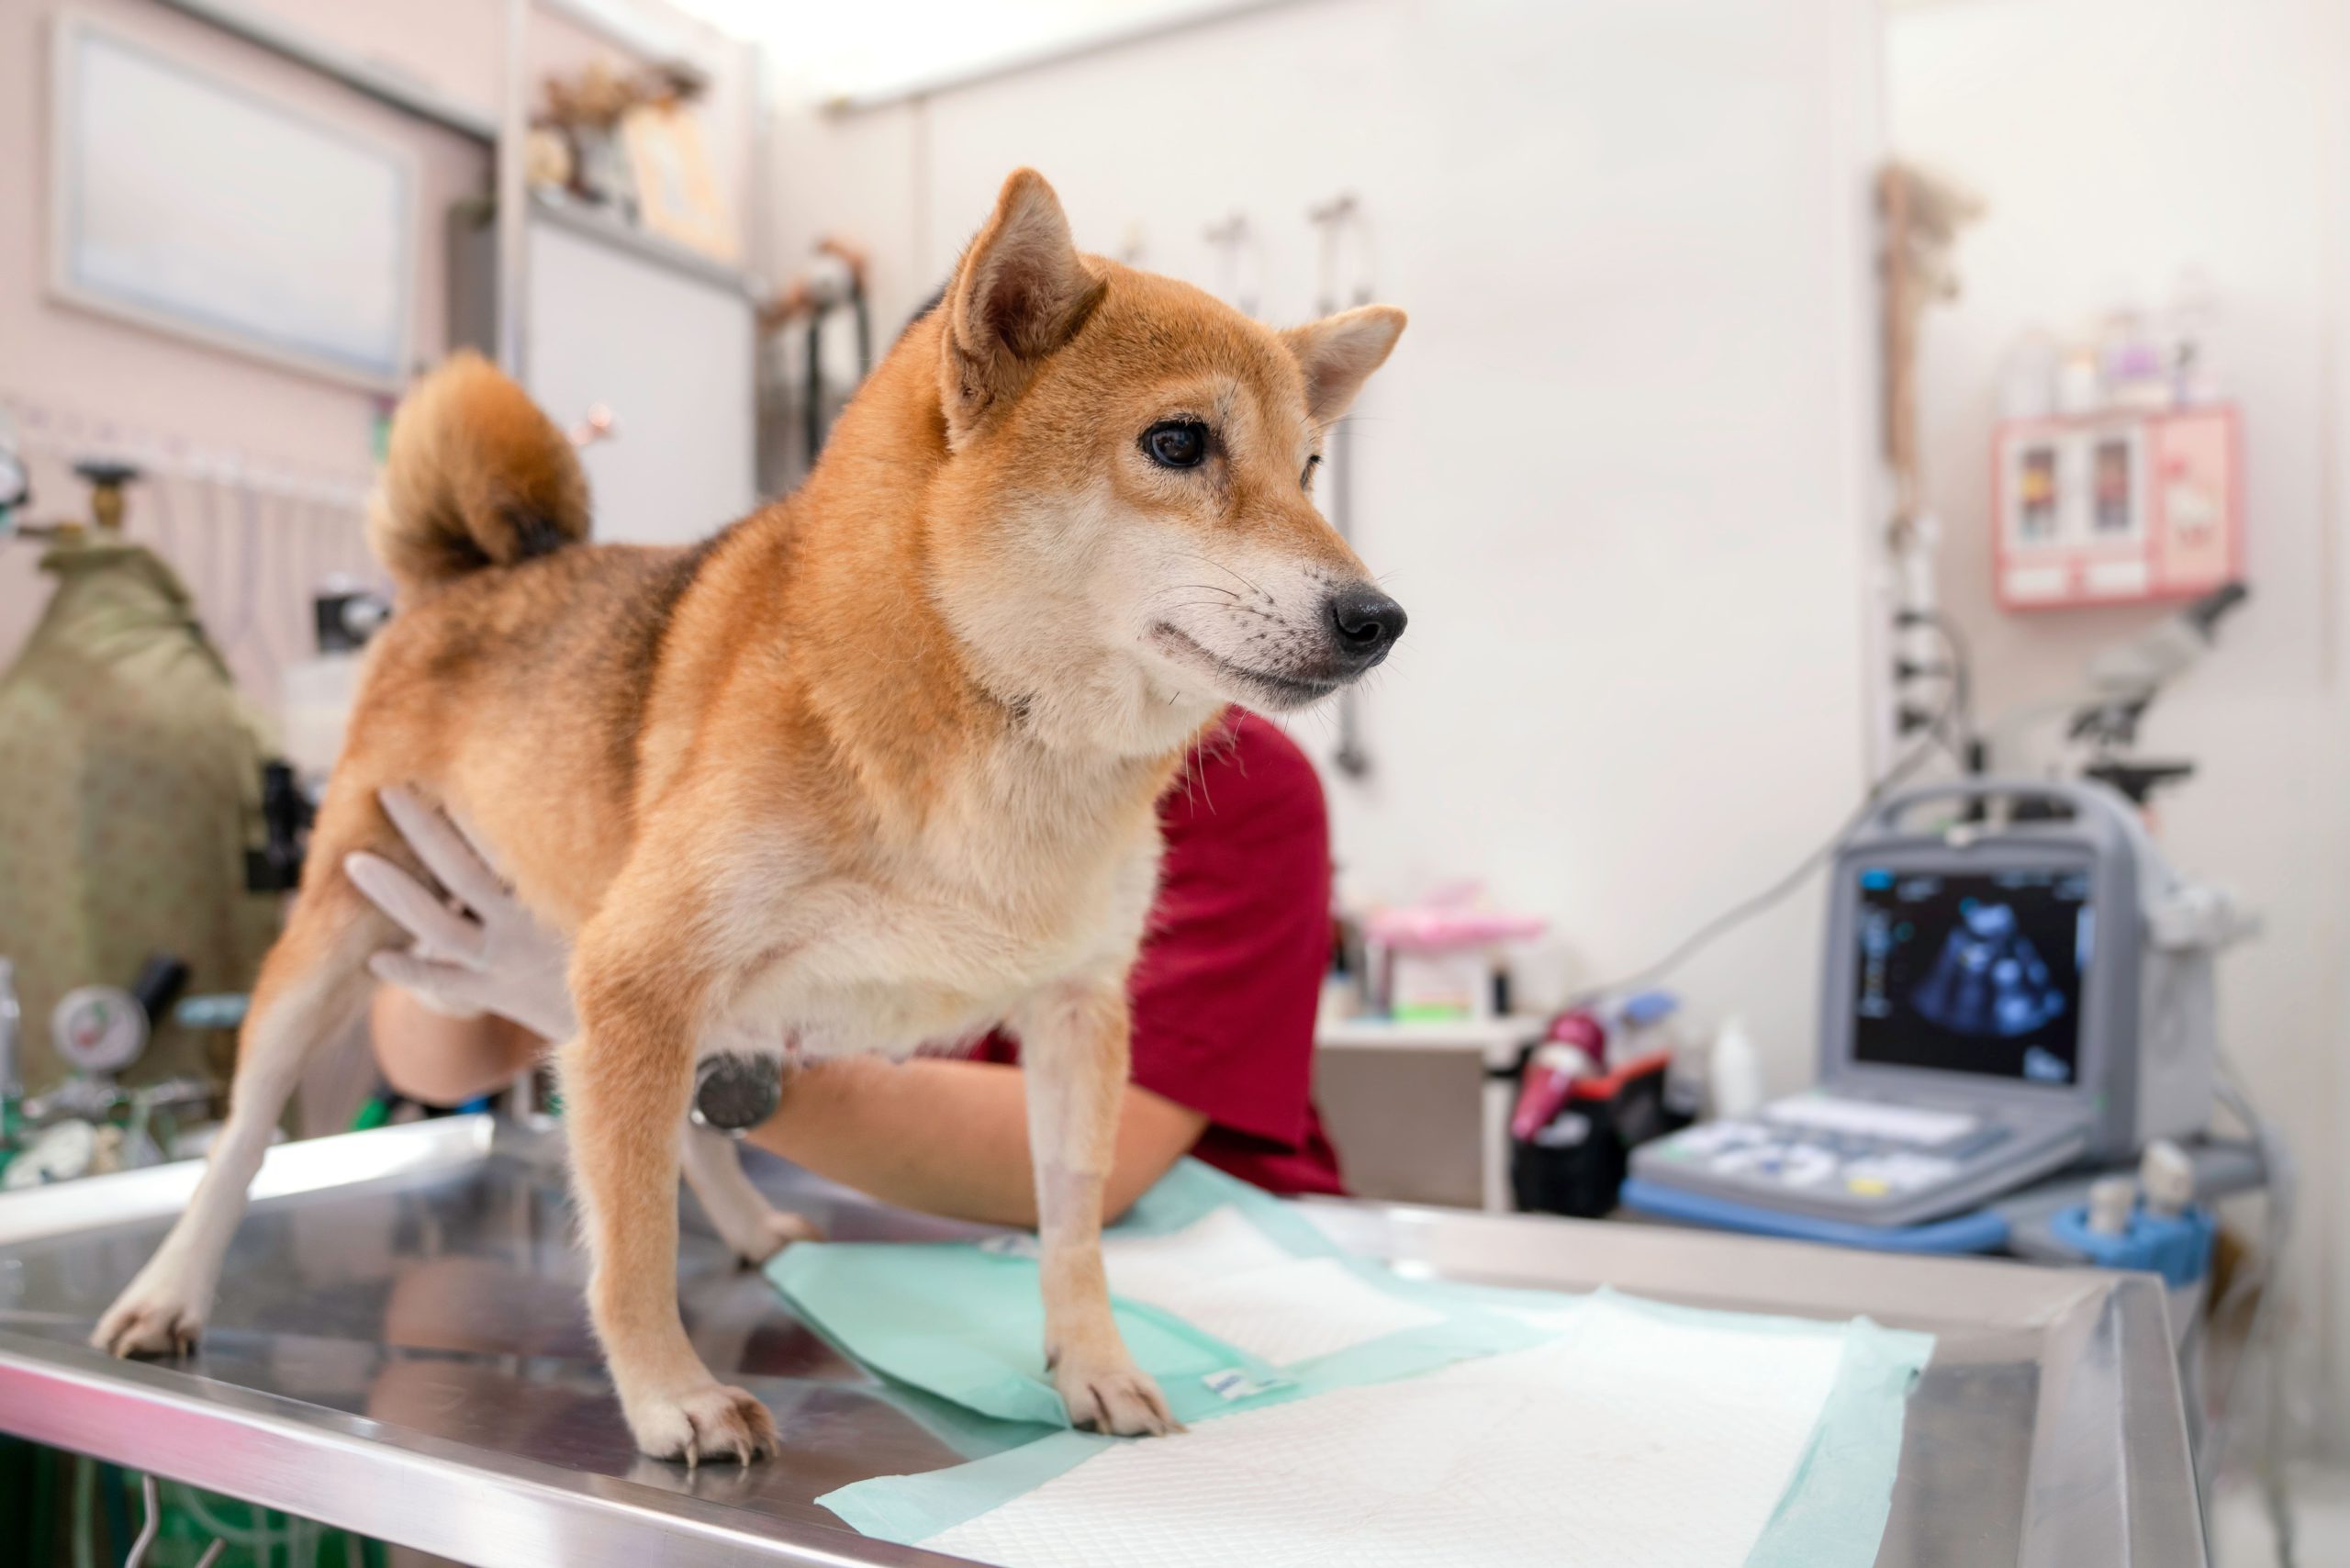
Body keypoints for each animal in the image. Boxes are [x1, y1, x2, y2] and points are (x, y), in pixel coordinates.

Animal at [101, 165, 1400, 1466]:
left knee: (670, 1131)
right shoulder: (639, 973)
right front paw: (667, 1392)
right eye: (1177, 443)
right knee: (243, 1143)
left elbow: (1071, 1229)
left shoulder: (1078, 1010)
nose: (1378, 619)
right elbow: (632, 1240)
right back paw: (170, 1289)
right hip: (348, 940)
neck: (1001, 731)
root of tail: (473, 575)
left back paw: (759, 1229)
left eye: (1309, 468)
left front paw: (1096, 1366)